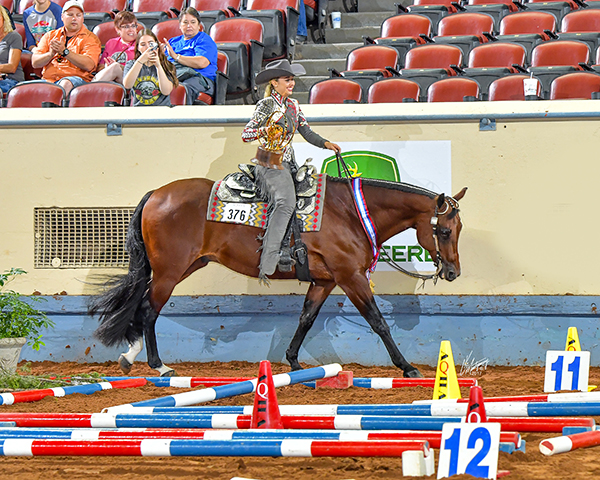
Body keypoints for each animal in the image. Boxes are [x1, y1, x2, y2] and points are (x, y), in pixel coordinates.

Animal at [89, 174, 466, 376]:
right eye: (445, 231)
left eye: (458, 229)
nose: (452, 272)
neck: (350, 212)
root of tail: (156, 194)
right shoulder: (351, 276)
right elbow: (377, 321)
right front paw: (406, 366)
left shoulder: (325, 280)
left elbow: (306, 318)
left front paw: (294, 362)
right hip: (170, 271)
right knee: (148, 310)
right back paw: (157, 364)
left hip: (185, 266)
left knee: (142, 306)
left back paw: (133, 357)